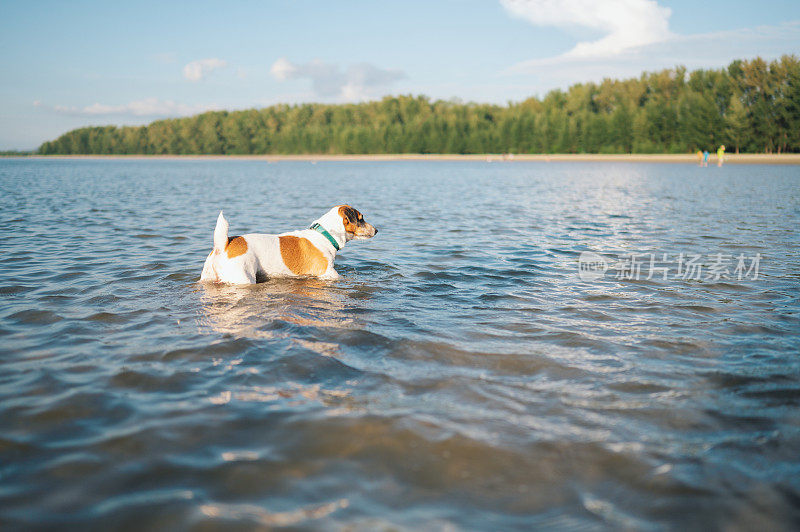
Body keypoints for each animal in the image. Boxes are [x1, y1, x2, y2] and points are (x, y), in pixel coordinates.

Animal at [198, 206, 376, 284]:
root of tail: (224, 245)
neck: (325, 234)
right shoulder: (328, 273)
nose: (377, 230)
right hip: (243, 278)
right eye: (361, 219)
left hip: (207, 278)